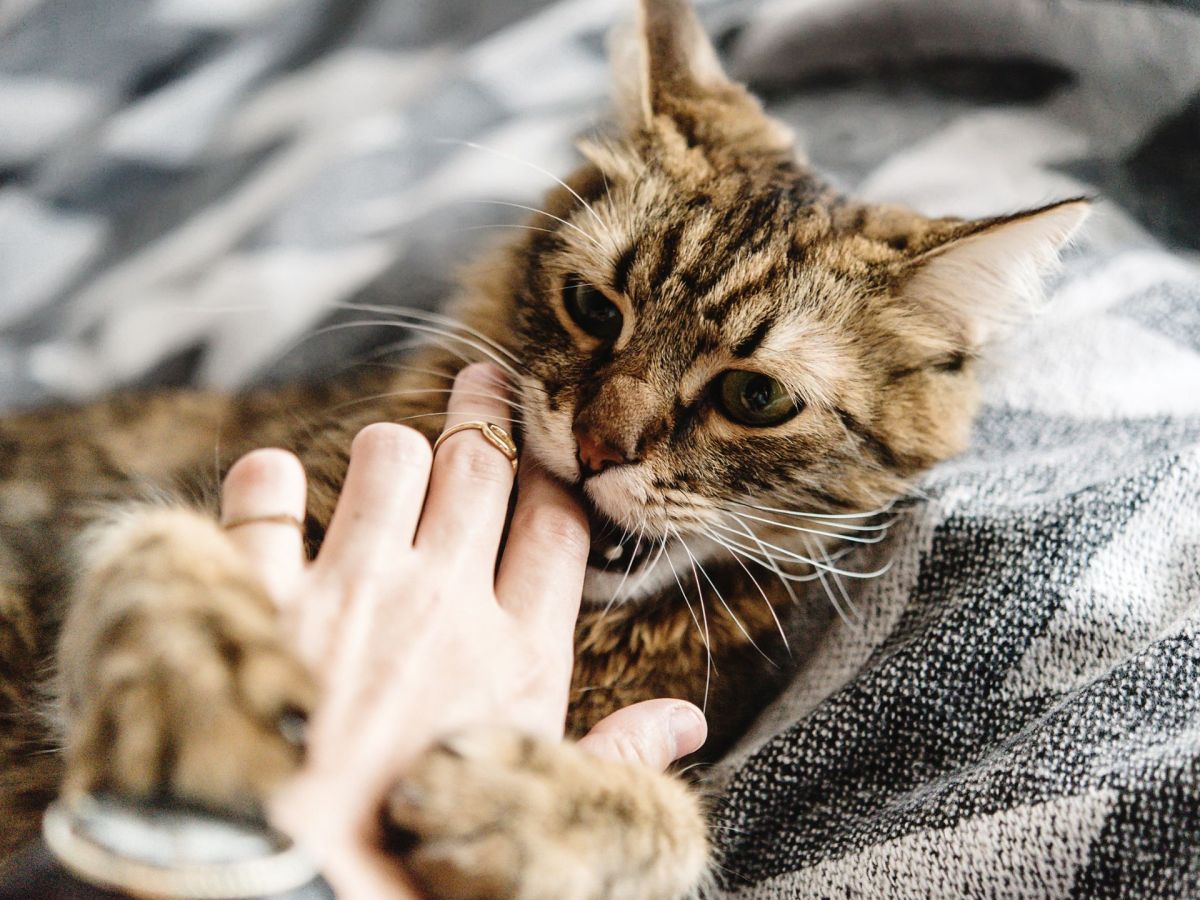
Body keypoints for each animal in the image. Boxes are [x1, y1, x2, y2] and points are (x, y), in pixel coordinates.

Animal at [0, 0, 1089, 897]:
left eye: (757, 396)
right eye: (593, 308)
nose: (601, 444)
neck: (594, 631)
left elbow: (676, 828)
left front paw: (526, 811)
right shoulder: (110, 534)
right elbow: (157, 552)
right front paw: (201, 688)